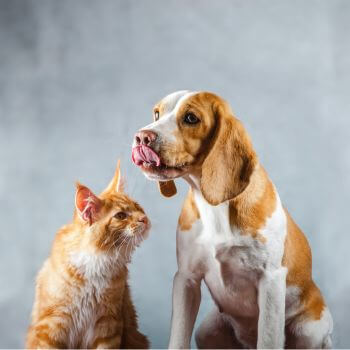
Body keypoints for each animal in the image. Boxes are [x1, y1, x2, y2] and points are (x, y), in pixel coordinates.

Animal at [25, 162, 149, 350]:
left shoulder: (108, 324)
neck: (97, 260)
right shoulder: (52, 324)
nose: (144, 219)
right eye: (120, 216)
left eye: (138, 207)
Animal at [131, 91, 334, 348]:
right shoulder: (186, 279)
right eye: (157, 114)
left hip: (309, 329)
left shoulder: (271, 280)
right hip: (207, 330)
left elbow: (268, 339)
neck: (215, 207)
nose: (142, 137)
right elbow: (178, 339)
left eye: (191, 118)